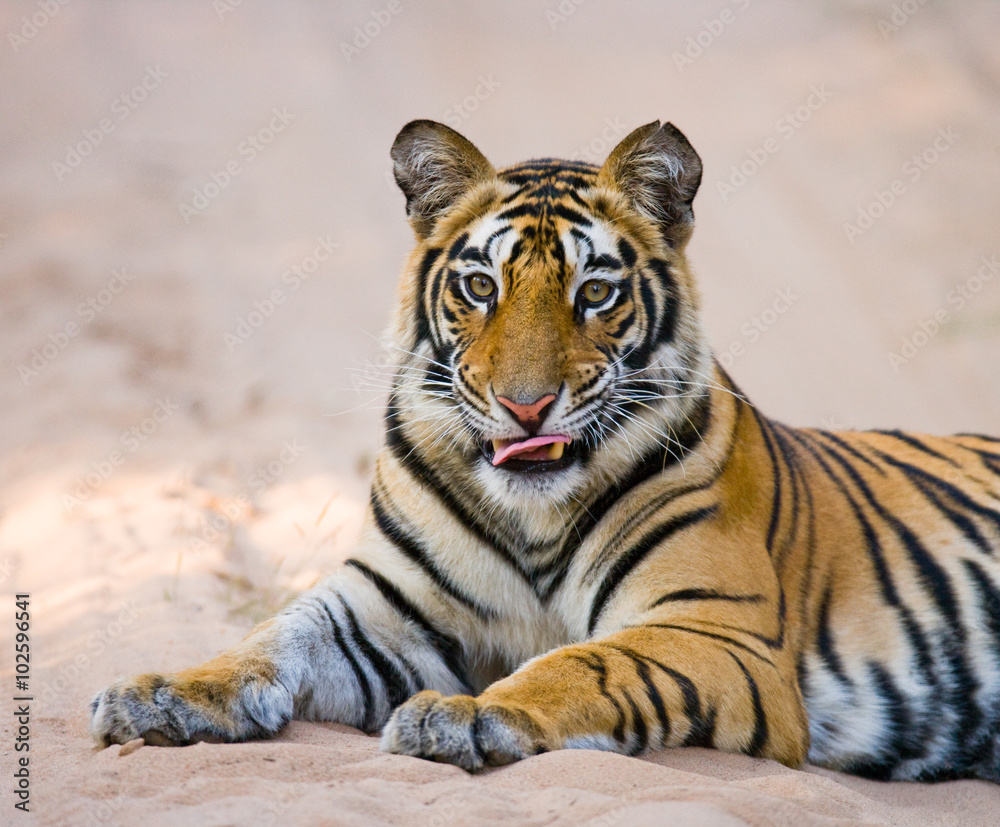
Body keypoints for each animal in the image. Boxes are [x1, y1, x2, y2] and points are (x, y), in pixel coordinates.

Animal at [90, 119, 1000, 782]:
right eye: (480, 286)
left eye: (594, 292)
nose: (525, 405)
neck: (533, 519)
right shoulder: (382, 605)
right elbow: (271, 634)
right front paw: (164, 692)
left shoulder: (714, 631)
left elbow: (590, 662)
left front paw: (468, 714)